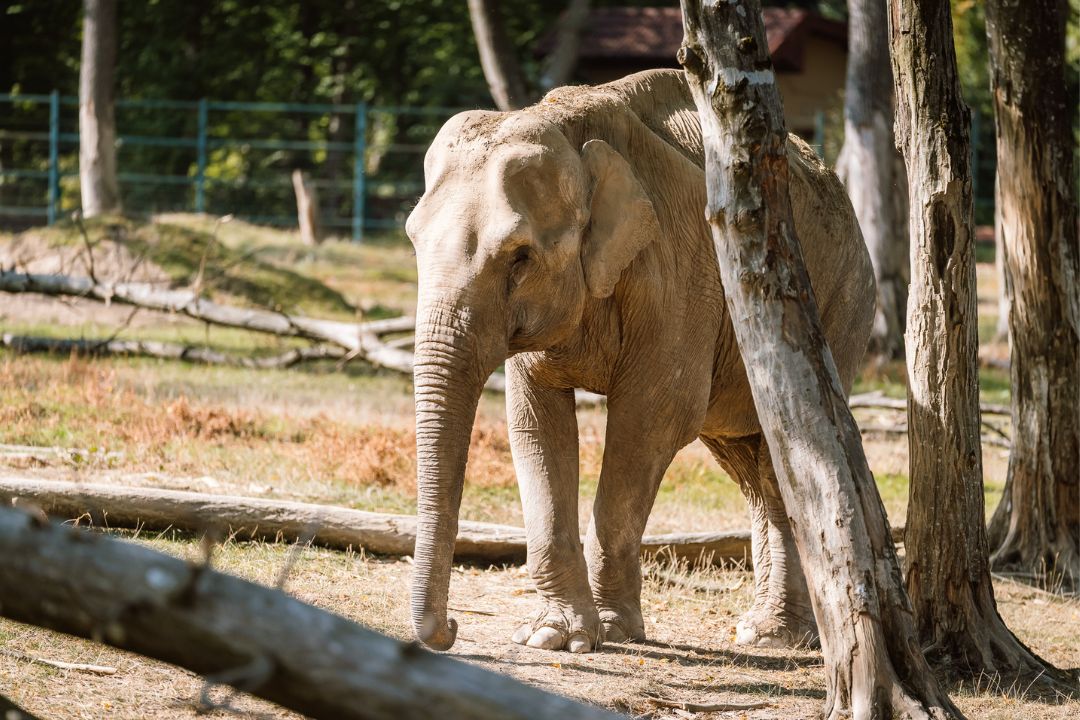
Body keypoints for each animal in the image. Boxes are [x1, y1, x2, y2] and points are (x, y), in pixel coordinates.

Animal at [406, 70, 876, 656]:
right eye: (413, 240)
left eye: (520, 257)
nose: (450, 629)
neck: (568, 123)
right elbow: (535, 422)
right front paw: (551, 636)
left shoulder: (682, 269)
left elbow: (653, 418)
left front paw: (609, 631)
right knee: (752, 459)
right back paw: (769, 631)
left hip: (842, 305)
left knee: (784, 444)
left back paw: (774, 637)